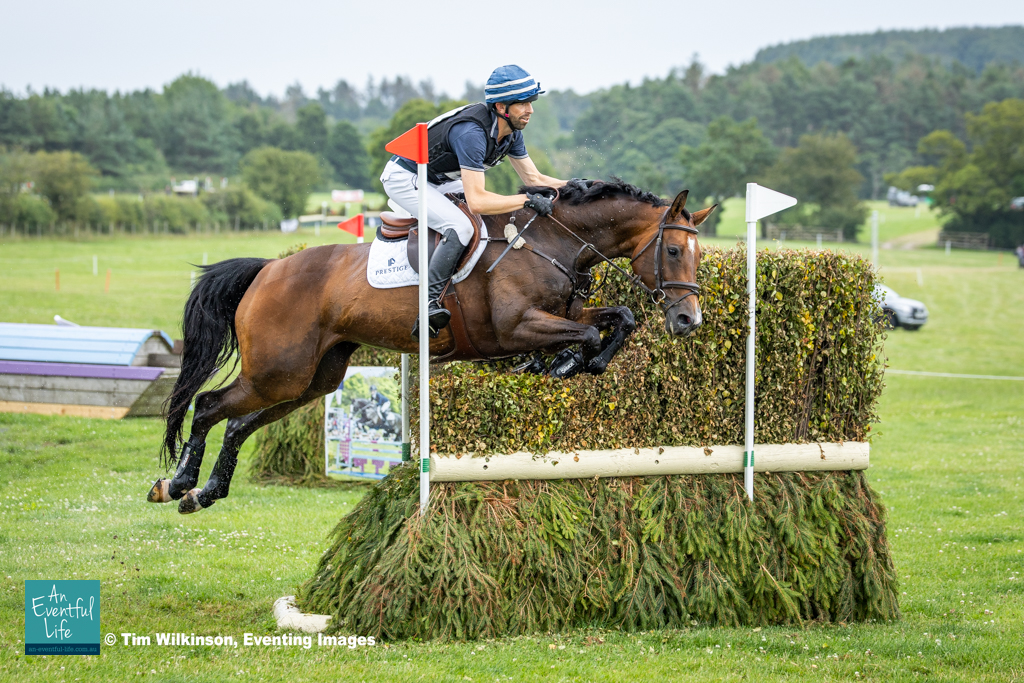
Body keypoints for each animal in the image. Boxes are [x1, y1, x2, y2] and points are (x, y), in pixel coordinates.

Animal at [147, 180, 715, 514]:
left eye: (697, 251)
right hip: (277, 369)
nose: (689, 320)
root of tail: (268, 269)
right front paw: (563, 363)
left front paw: (576, 362)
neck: (552, 243)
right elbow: (591, 334)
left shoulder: (565, 314)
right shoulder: (515, 327)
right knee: (208, 405)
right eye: (672, 250)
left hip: (313, 378)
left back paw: (206, 491)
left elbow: (619, 319)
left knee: (238, 423)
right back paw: (176, 483)